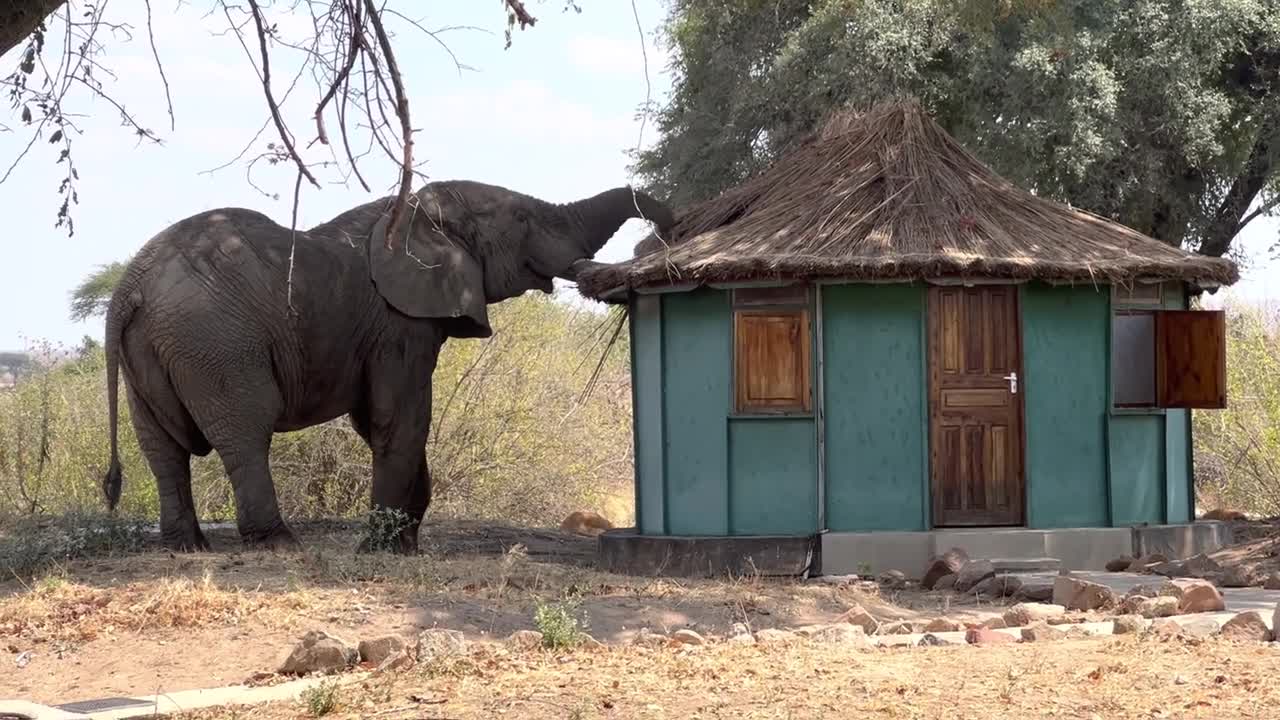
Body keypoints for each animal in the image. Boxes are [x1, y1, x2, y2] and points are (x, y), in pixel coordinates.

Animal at [101, 178, 675, 548]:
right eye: (521, 219)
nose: (669, 228)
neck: (416, 210)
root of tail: (130, 286)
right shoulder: (398, 322)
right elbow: (400, 417)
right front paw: (384, 548)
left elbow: (384, 422)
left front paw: (406, 543)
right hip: (215, 341)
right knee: (245, 431)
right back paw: (276, 542)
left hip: (151, 350)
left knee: (162, 447)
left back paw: (186, 546)